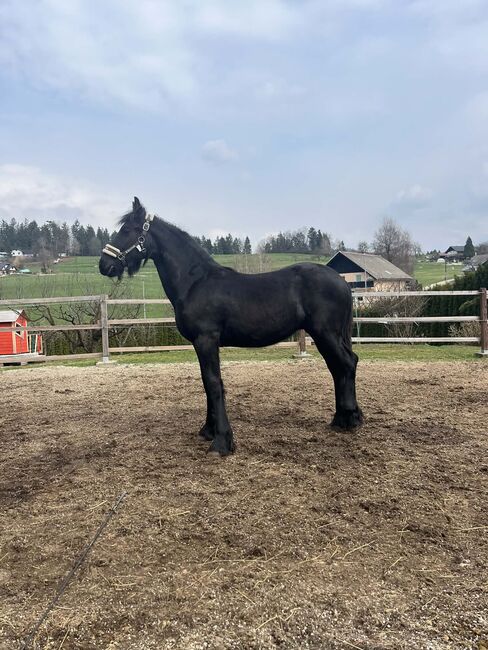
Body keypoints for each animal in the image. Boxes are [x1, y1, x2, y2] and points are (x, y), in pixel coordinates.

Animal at [99, 197, 363, 456]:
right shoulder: (201, 343)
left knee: (346, 364)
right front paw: (208, 430)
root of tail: (341, 281)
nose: (104, 264)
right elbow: (206, 383)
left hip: (325, 334)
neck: (195, 282)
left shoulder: (206, 339)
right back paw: (342, 419)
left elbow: (214, 383)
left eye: (127, 230)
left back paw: (349, 419)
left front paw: (221, 442)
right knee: (339, 367)